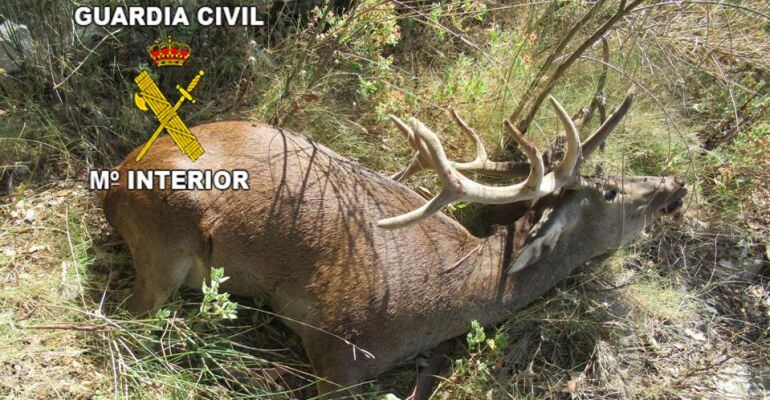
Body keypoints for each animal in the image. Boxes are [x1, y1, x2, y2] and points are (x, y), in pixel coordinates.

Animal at [101, 93, 686, 399]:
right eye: (609, 191)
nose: (674, 184)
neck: (453, 292)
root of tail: (116, 178)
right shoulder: (338, 345)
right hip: (166, 243)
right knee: (129, 314)